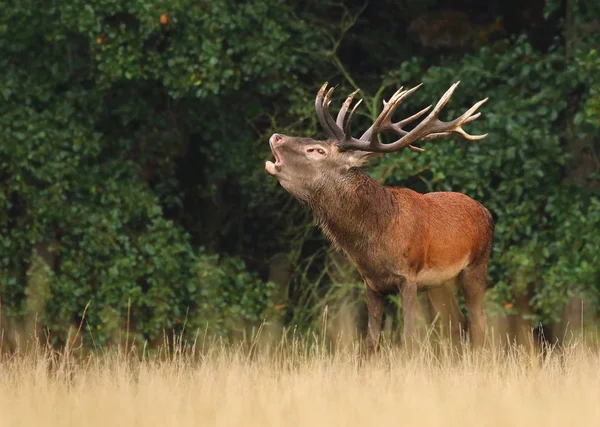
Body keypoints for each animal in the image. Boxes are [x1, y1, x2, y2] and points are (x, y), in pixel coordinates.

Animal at [264, 81, 494, 354]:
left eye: (318, 150)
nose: (276, 136)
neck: (376, 238)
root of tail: (487, 212)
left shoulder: (408, 276)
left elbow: (409, 336)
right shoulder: (371, 283)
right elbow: (371, 340)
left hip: (477, 265)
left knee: (479, 321)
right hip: (441, 284)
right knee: (456, 322)